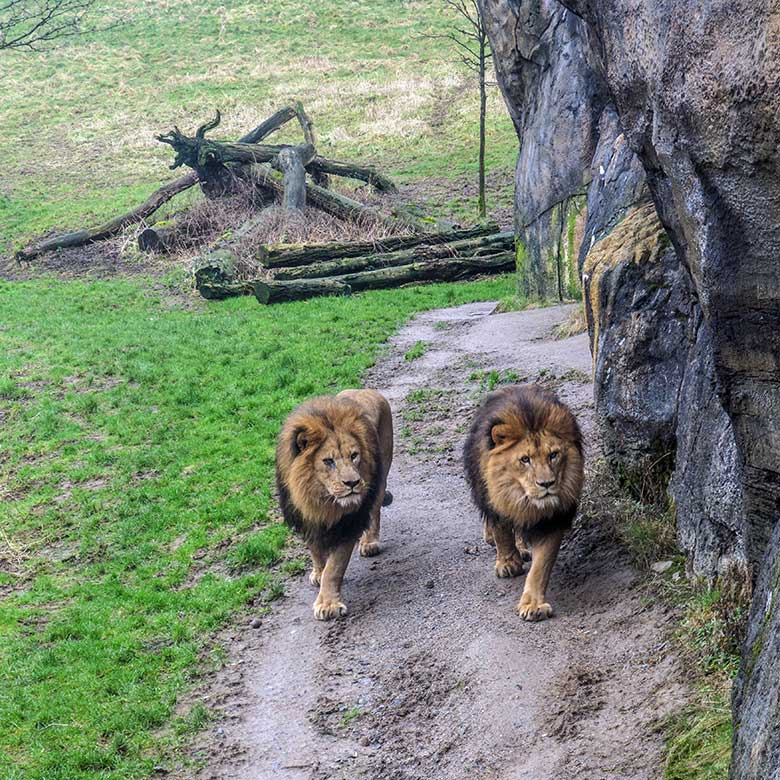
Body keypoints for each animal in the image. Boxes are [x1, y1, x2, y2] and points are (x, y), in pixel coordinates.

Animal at [276, 390, 396, 620]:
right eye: (328, 461)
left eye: (354, 455)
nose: (353, 483)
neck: (320, 498)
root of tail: (368, 391)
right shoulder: (306, 519)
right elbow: (315, 552)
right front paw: (318, 572)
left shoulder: (347, 524)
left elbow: (334, 568)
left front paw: (327, 605)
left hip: (381, 473)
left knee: (374, 511)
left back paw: (370, 543)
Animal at [460, 384, 580, 620]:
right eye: (525, 459)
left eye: (553, 455)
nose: (546, 483)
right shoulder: (496, 501)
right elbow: (502, 532)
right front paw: (508, 563)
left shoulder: (552, 520)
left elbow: (541, 565)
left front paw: (533, 605)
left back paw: (523, 548)